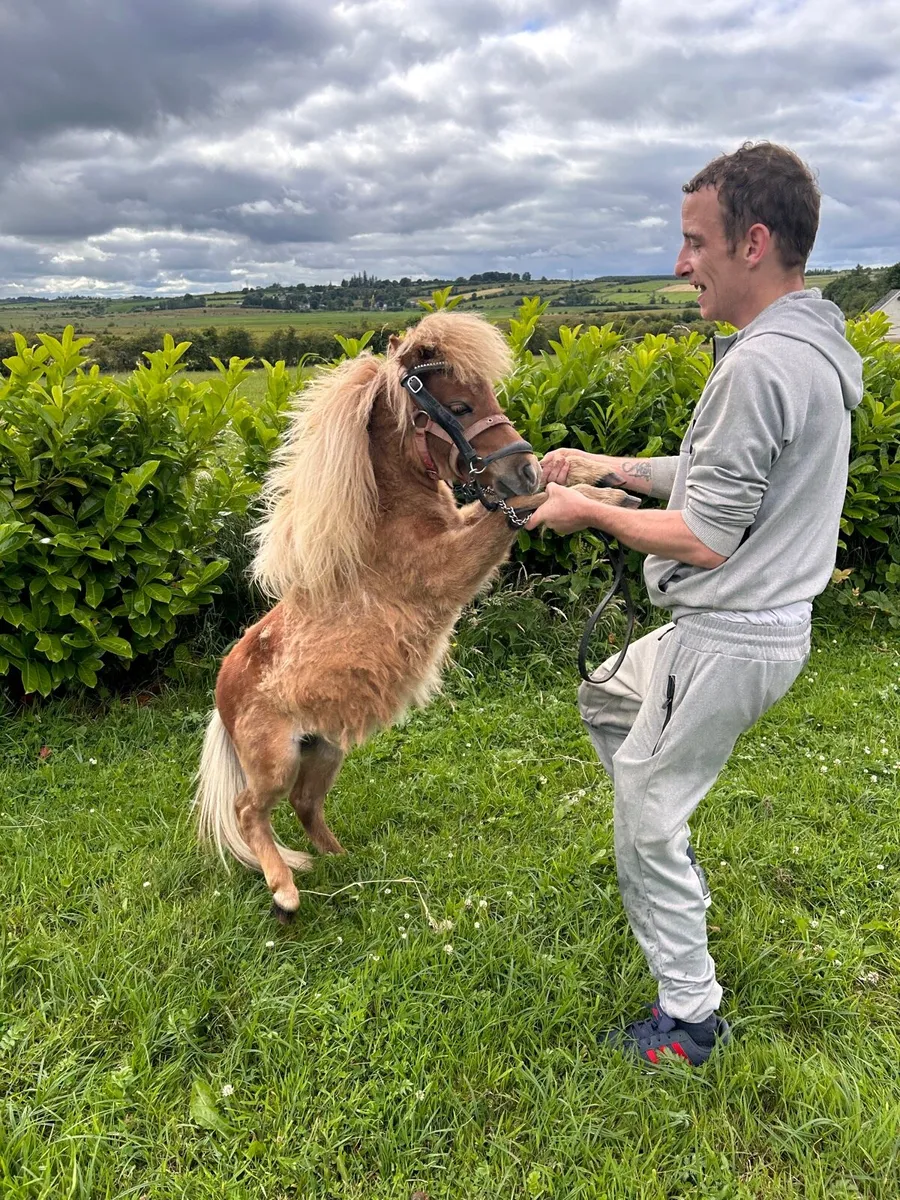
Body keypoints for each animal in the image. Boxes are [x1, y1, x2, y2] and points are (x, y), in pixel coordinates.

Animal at [195, 310, 631, 919]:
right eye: (463, 406)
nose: (522, 467)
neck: (390, 519)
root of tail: (222, 691)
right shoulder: (448, 569)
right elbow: (523, 510)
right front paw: (597, 498)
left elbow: (536, 496)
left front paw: (600, 487)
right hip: (275, 762)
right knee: (248, 811)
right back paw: (284, 888)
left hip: (324, 748)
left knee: (305, 805)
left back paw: (343, 859)